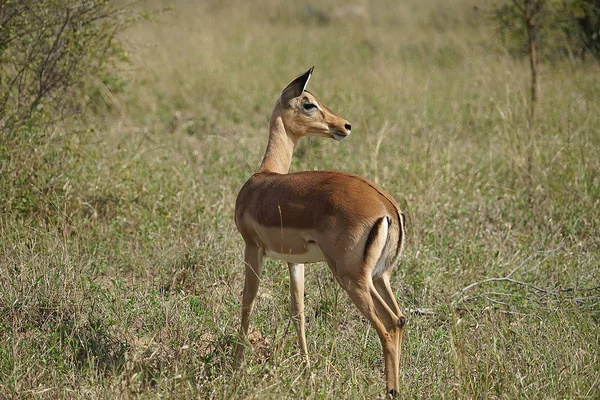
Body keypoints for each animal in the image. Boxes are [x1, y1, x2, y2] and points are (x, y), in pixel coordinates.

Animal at [234, 67, 408, 396]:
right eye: (309, 103)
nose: (344, 125)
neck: (263, 179)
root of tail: (388, 208)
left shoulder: (253, 248)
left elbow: (247, 303)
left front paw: (236, 368)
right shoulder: (295, 260)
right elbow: (298, 312)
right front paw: (307, 372)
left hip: (352, 278)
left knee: (390, 324)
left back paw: (391, 390)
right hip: (380, 276)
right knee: (401, 318)